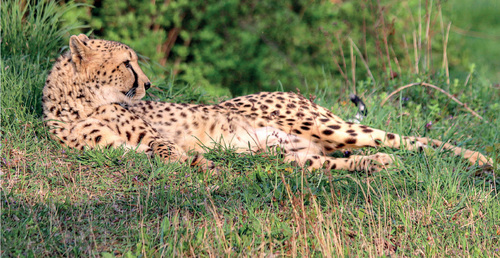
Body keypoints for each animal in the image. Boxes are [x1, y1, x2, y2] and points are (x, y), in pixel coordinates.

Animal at [42, 33, 492, 171]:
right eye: (126, 64)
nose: (149, 84)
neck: (79, 104)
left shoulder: (153, 135)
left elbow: (166, 148)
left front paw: (196, 161)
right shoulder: (119, 149)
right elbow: (156, 154)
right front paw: (198, 161)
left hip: (326, 126)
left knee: (413, 140)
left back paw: (480, 158)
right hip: (290, 154)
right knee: (337, 163)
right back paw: (377, 164)